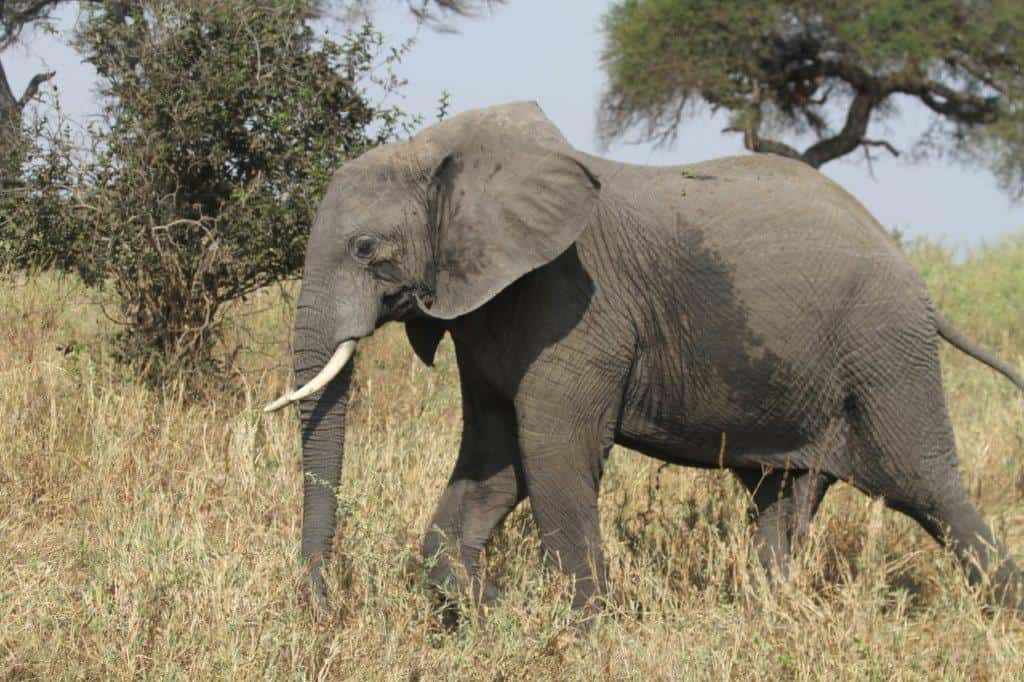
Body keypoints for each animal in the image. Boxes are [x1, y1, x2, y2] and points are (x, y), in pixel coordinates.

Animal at [265, 101, 1024, 616]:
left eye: (366, 248)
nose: (325, 608)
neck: (443, 150)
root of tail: (915, 279)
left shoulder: (576, 303)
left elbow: (554, 450)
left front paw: (576, 632)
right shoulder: (487, 311)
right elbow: (495, 457)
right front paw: (490, 609)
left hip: (886, 348)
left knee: (925, 485)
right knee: (783, 500)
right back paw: (768, 613)